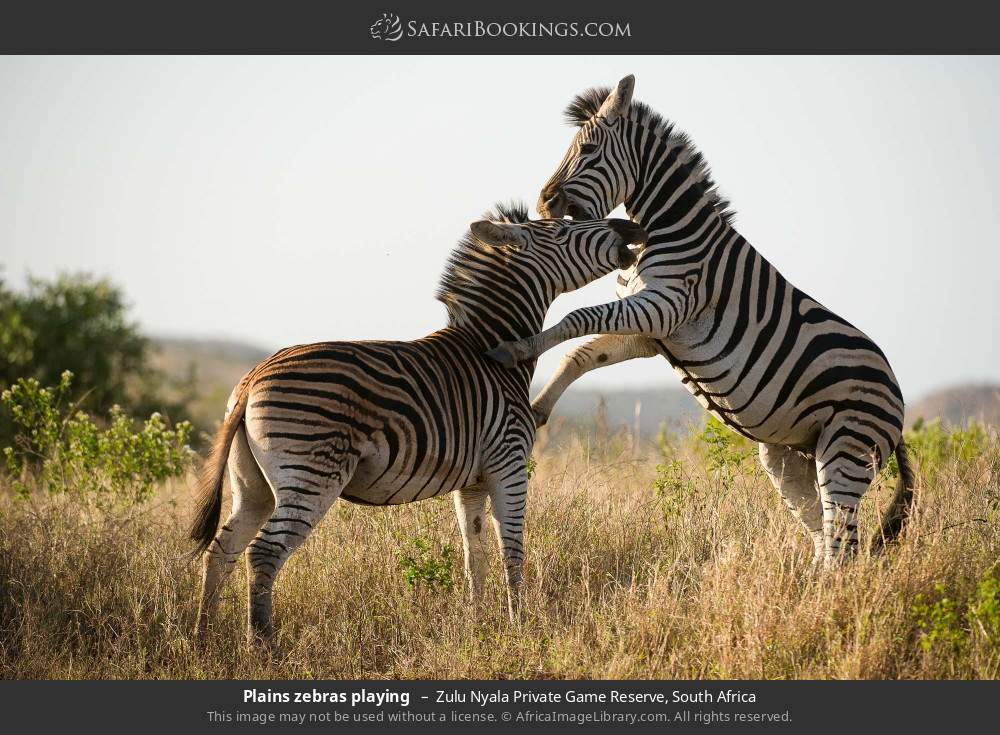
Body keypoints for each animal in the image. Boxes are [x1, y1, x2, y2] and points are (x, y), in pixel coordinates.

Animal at [189, 202, 647, 645]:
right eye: (566, 229)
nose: (634, 228)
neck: (489, 351)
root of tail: (253, 378)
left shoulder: (472, 480)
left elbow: (474, 554)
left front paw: (478, 625)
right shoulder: (510, 462)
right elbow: (512, 550)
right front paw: (521, 627)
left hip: (253, 484)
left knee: (223, 548)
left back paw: (203, 637)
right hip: (311, 475)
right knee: (263, 552)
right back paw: (262, 645)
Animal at [487, 75, 914, 567]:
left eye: (589, 149)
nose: (543, 202)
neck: (669, 229)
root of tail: (899, 403)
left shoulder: (666, 305)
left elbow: (578, 317)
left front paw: (516, 348)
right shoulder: (650, 330)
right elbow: (583, 352)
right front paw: (539, 407)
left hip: (846, 448)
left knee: (845, 550)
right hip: (793, 457)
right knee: (826, 541)